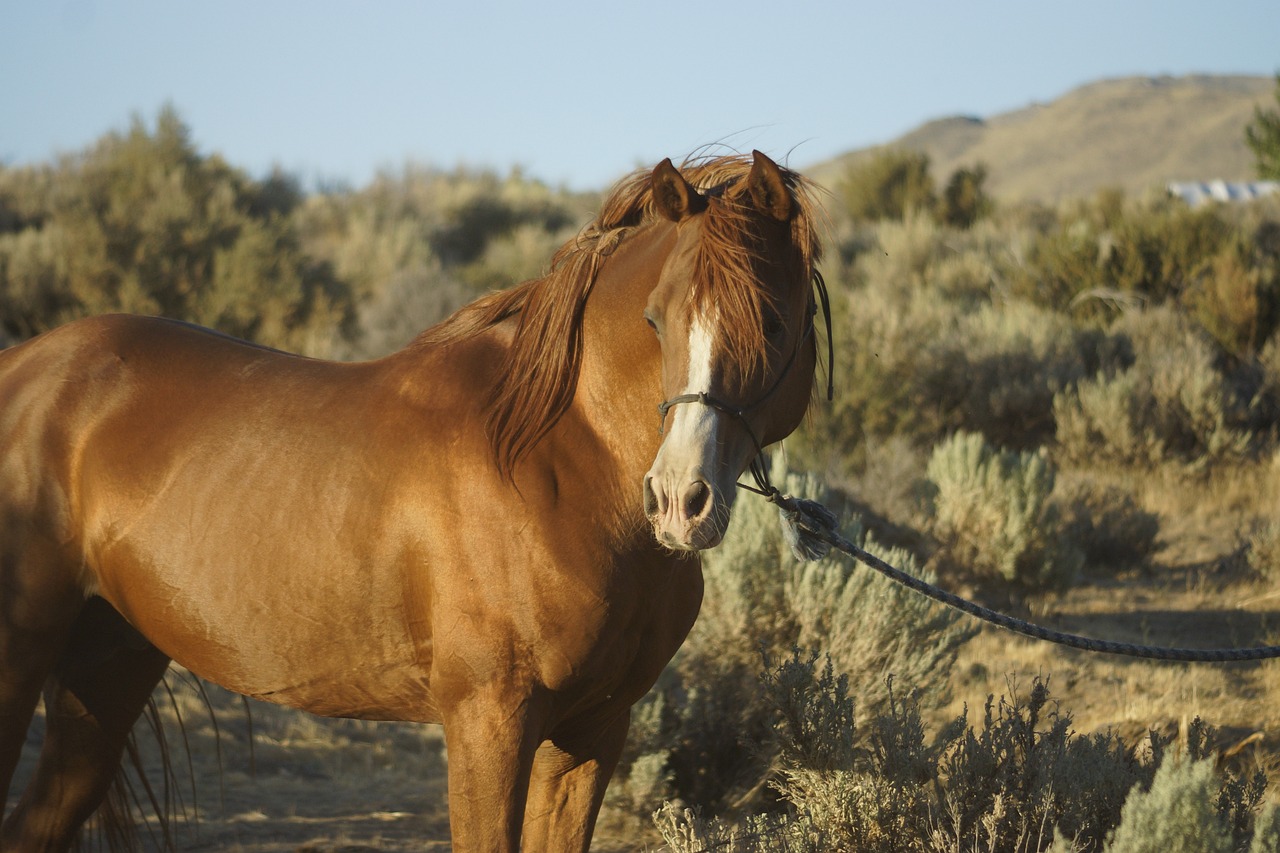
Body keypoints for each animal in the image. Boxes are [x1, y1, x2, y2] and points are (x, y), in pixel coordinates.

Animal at [0, 149, 819, 845]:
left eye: (776, 323)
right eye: (655, 319)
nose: (679, 500)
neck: (559, 464)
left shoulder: (593, 729)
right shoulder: (490, 721)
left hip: (107, 665)